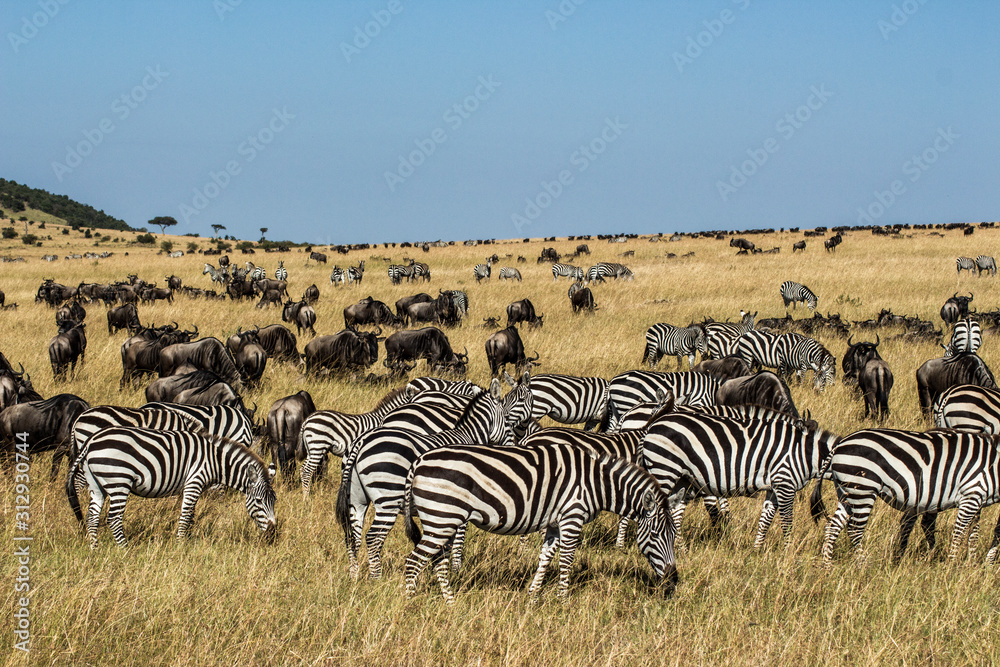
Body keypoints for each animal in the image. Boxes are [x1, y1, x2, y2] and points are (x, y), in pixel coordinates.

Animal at [66, 427, 276, 548]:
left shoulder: (189, 486)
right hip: (119, 481)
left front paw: (188, 539)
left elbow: (191, 515)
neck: (215, 461)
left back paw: (94, 549)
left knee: (92, 517)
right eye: (259, 501)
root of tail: (91, 441)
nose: (272, 533)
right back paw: (126, 550)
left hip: (96, 485)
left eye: (274, 501)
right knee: (114, 519)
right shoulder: (195, 481)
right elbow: (185, 515)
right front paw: (180, 545)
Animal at [335, 378, 532, 579]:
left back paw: (354, 577)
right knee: (373, 537)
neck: (468, 435)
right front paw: (455, 569)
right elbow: (458, 537)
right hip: (388, 498)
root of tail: (361, 442)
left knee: (353, 536)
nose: (514, 446)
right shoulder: (461, 501)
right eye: (507, 420)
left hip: (356, 499)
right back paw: (377, 579)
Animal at [401, 441, 678, 604]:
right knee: (414, 561)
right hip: (442, 517)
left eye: (674, 537)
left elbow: (545, 557)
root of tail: (420, 460)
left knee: (438, 561)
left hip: (443, 519)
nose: (673, 582)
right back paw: (411, 603)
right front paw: (563, 601)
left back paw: (449, 603)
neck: (596, 482)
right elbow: (566, 560)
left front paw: (533, 596)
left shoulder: (555, 522)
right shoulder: (572, 516)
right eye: (655, 536)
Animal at [643, 409, 839, 548]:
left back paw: (680, 549)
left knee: (675, 514)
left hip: (682, 480)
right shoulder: (785, 482)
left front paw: (757, 550)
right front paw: (788, 554)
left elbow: (765, 520)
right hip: (664, 470)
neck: (805, 453)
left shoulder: (774, 487)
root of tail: (654, 425)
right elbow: (787, 522)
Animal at [812, 428, 1000, 566]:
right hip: (864, 488)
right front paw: (952, 566)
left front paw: (971, 563)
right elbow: (959, 534)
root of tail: (840, 445)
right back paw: (862, 565)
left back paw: (827, 566)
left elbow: (973, 534)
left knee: (832, 527)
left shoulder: (977, 500)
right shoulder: (971, 495)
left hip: (847, 492)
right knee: (855, 530)